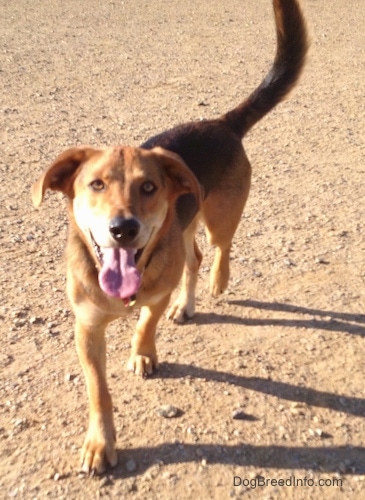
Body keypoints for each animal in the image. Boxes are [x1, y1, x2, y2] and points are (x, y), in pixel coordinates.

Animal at [32, 0, 308, 474]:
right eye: (96, 184)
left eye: (148, 187)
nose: (123, 229)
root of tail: (220, 123)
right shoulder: (86, 327)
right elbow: (98, 391)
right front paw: (100, 443)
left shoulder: (156, 290)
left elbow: (146, 322)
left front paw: (143, 353)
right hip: (186, 227)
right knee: (193, 257)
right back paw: (188, 302)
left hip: (218, 216)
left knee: (219, 250)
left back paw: (215, 282)